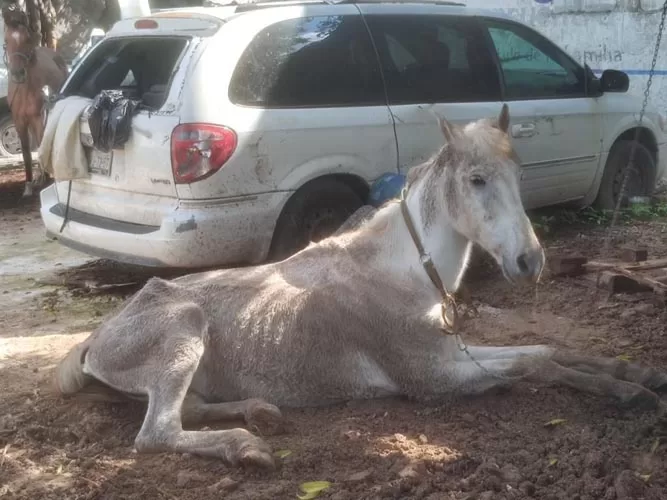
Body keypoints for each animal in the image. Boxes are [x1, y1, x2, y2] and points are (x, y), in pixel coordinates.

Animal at [2, 1, 68, 197]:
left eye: (27, 40)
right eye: (6, 41)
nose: (17, 73)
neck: (24, 91)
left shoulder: (38, 117)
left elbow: (40, 144)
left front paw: (44, 178)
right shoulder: (19, 120)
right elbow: (25, 151)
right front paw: (29, 186)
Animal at [52, 106, 667, 470]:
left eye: (519, 176)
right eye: (476, 180)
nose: (529, 260)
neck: (400, 271)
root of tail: (96, 338)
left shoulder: (458, 352)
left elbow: (547, 350)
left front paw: (635, 374)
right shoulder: (436, 377)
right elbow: (536, 365)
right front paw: (628, 391)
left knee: (191, 411)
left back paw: (260, 413)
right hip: (183, 334)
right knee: (158, 433)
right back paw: (246, 446)